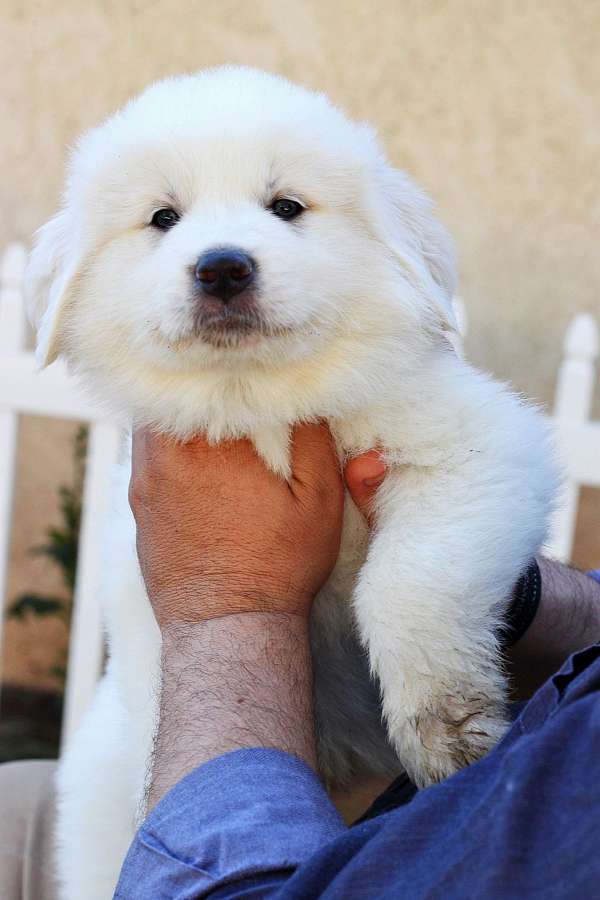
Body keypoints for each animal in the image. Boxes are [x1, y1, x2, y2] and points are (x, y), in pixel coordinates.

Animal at [24, 67, 556, 896]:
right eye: (163, 218)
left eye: (286, 207)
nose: (222, 266)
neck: (261, 402)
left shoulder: (479, 452)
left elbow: (404, 584)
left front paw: (449, 734)